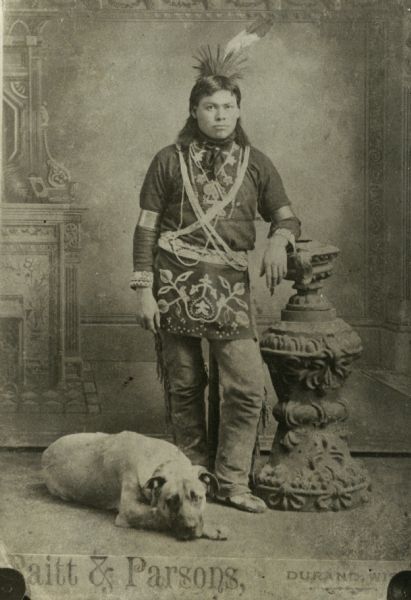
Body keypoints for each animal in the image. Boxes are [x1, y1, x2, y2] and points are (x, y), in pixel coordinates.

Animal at [41, 428, 229, 540]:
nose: (189, 528)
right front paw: (209, 528)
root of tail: (46, 451)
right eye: (171, 501)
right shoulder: (130, 510)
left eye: (197, 497)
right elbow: (159, 514)